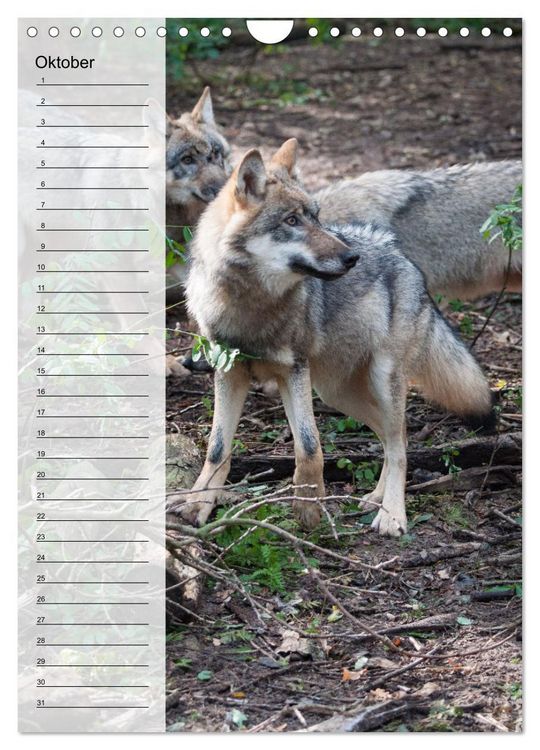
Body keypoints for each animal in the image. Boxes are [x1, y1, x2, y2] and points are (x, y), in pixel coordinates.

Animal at [167, 139, 494, 537]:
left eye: (316, 217)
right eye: (292, 221)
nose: (351, 257)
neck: (252, 306)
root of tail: (401, 256)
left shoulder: (294, 372)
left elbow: (309, 446)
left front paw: (309, 510)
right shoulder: (229, 373)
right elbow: (217, 448)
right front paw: (196, 506)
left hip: (380, 381)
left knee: (399, 443)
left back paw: (392, 514)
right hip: (337, 394)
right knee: (395, 438)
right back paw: (376, 498)